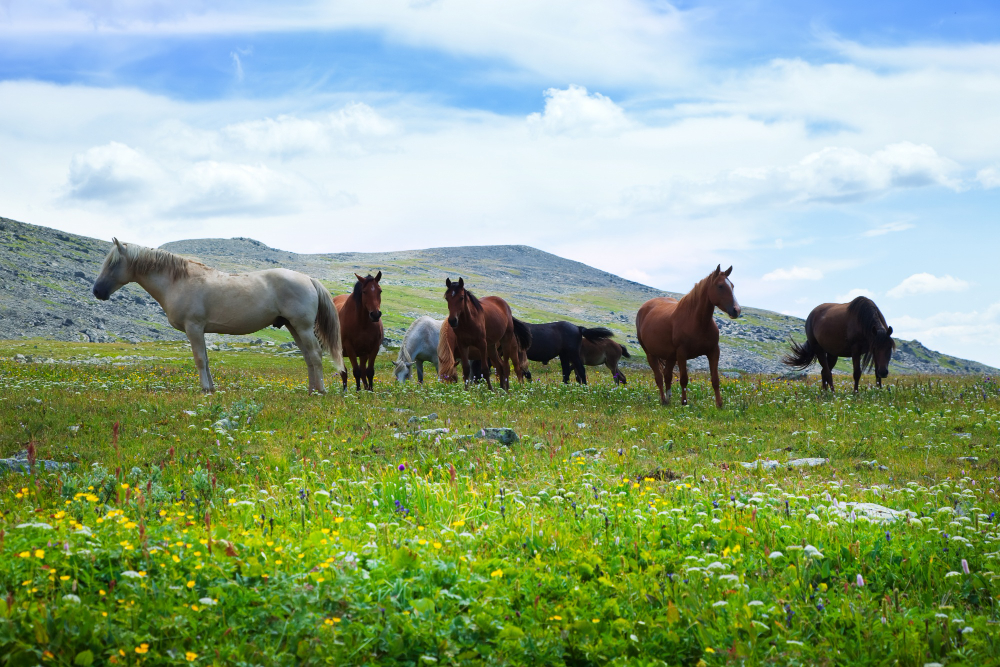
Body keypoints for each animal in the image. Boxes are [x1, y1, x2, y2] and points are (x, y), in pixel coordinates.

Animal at [94, 240, 344, 394]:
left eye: (113, 264)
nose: (97, 291)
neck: (178, 281)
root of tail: (308, 278)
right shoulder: (200, 330)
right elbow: (206, 359)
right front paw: (212, 388)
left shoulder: (193, 328)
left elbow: (199, 359)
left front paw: (205, 389)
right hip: (293, 327)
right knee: (308, 357)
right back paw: (311, 390)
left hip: (303, 327)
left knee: (315, 355)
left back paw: (320, 391)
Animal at [636, 266, 740, 408]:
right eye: (720, 286)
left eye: (732, 286)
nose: (737, 310)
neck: (698, 322)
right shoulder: (682, 353)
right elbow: (684, 379)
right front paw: (684, 402)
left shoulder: (713, 351)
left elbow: (715, 379)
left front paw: (719, 404)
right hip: (651, 354)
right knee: (658, 377)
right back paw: (663, 400)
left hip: (670, 356)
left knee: (667, 375)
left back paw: (668, 399)